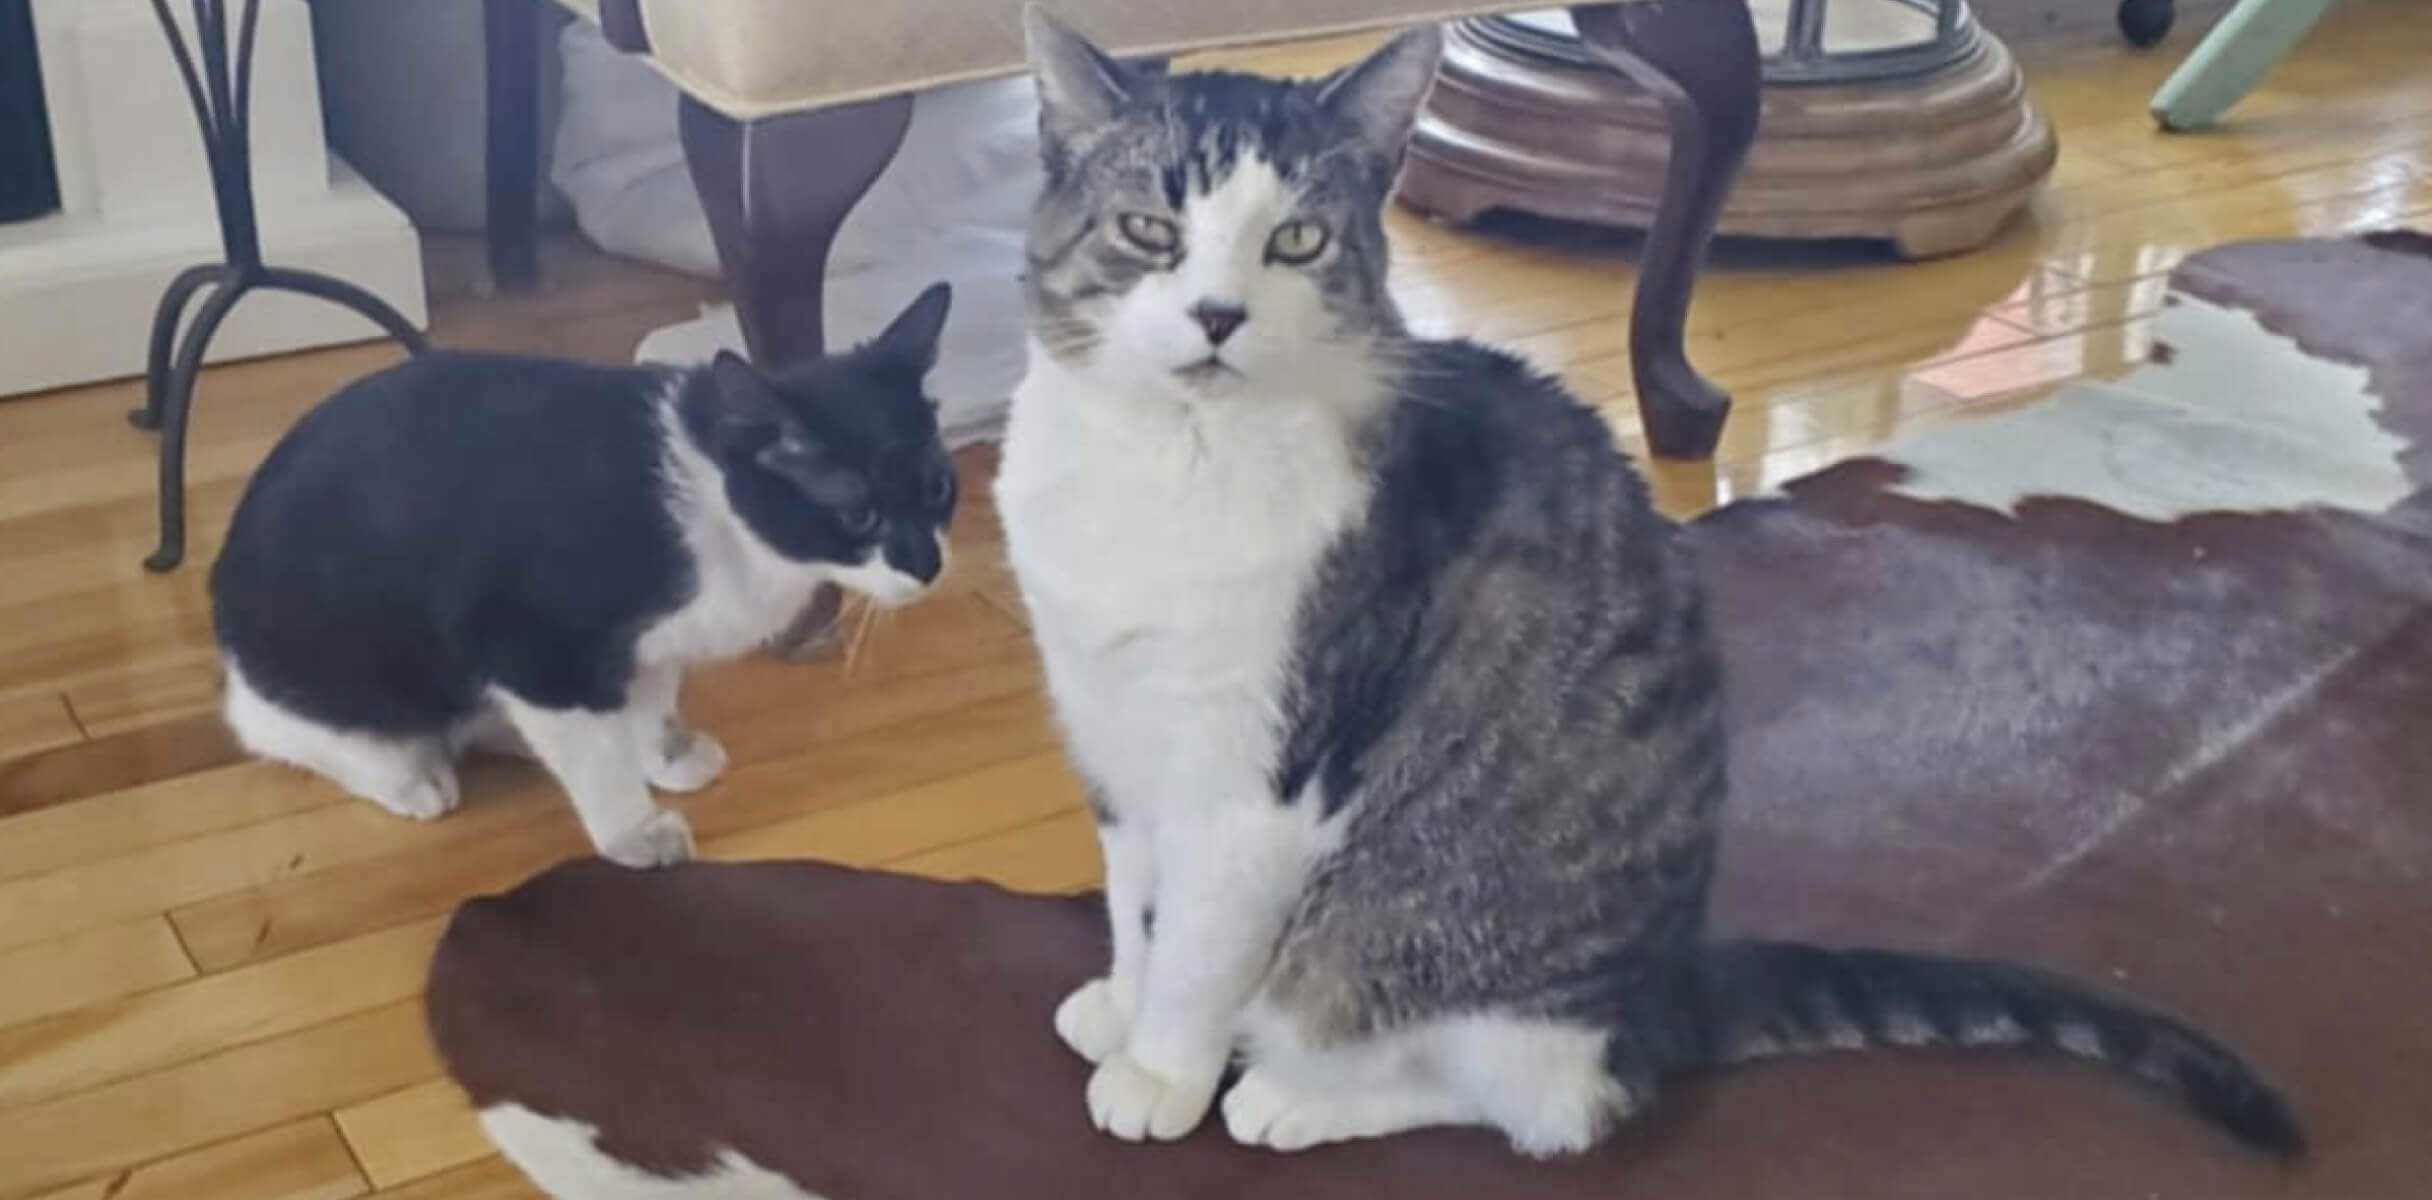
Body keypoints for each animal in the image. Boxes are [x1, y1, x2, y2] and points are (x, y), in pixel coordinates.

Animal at [214, 283, 958, 861]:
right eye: (858, 514)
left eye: (938, 487)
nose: (927, 565)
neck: (717, 504)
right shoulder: (534, 643)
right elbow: (595, 753)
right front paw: (635, 832)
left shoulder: (649, 643)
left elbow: (652, 698)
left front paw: (666, 754)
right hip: (343, 673)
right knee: (281, 730)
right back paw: (409, 775)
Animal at [992, 4, 2295, 1153]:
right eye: (1148, 231)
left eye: (1296, 242)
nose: (1217, 315)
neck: (1165, 462)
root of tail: (1665, 987)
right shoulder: (1111, 728)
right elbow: (1136, 904)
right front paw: (1122, 1004)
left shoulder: (1256, 777)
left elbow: (1198, 945)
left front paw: (1163, 1070)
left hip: (1467, 967)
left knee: (1547, 1107)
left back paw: (1297, 1098)